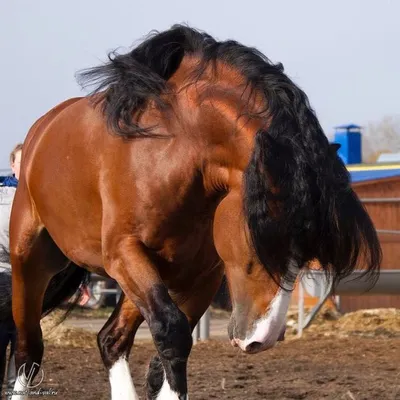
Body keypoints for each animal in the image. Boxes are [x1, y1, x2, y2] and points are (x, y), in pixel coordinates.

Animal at [3, 25, 382, 400]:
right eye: (266, 236)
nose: (261, 338)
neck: (173, 154)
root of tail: (40, 133)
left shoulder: (200, 274)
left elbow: (166, 357)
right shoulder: (124, 253)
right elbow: (172, 335)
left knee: (111, 340)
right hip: (33, 261)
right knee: (28, 350)